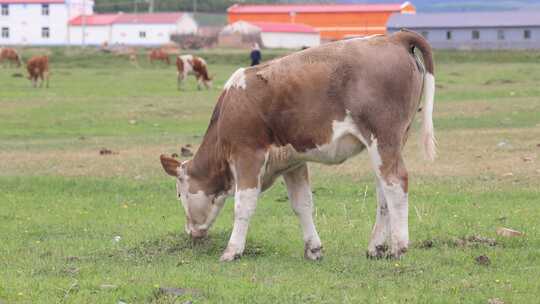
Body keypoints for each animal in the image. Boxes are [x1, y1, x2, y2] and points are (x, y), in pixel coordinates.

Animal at [159, 31, 434, 264]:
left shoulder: (247, 155)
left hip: (384, 138)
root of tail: (394, 37)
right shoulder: (293, 162)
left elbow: (243, 205)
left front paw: (232, 250)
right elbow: (302, 204)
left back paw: (399, 246)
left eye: (179, 194)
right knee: (384, 192)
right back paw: (376, 247)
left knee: (396, 183)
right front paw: (313, 248)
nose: (189, 231)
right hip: (388, 145)